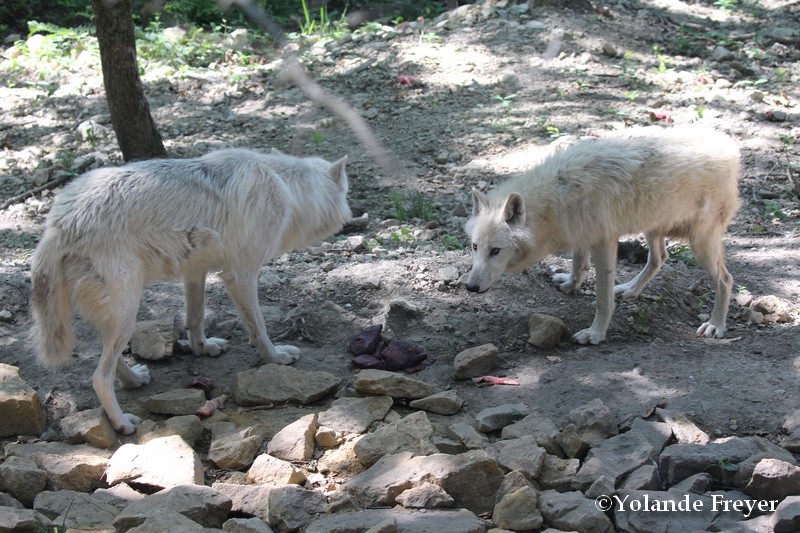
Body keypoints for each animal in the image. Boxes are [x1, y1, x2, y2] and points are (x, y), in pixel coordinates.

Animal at [31, 149, 350, 432]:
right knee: (99, 377)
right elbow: (259, 328)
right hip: (127, 312)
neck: (288, 189)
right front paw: (276, 358)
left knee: (112, 360)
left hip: (115, 316)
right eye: (347, 194)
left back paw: (134, 380)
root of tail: (58, 226)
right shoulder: (241, 275)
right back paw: (122, 423)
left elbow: (195, 317)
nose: (353, 214)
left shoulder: (196, 270)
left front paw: (203, 348)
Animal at [466, 127, 740, 348]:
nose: (470, 287)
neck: (558, 196)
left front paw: (595, 334)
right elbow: (578, 263)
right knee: (659, 258)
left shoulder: (603, 242)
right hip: (652, 226)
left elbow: (602, 298)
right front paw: (570, 284)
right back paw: (630, 289)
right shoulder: (581, 232)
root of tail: (728, 146)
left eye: (495, 251)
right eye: (475, 247)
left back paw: (715, 325)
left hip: (700, 243)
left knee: (725, 280)